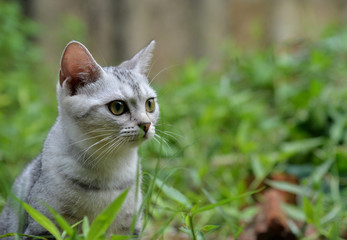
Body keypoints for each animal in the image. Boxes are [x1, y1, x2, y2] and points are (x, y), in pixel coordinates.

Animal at [0, 40, 160, 237]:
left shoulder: (128, 228)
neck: (110, 171)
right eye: (117, 107)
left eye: (150, 104)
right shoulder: (42, 226)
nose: (146, 124)